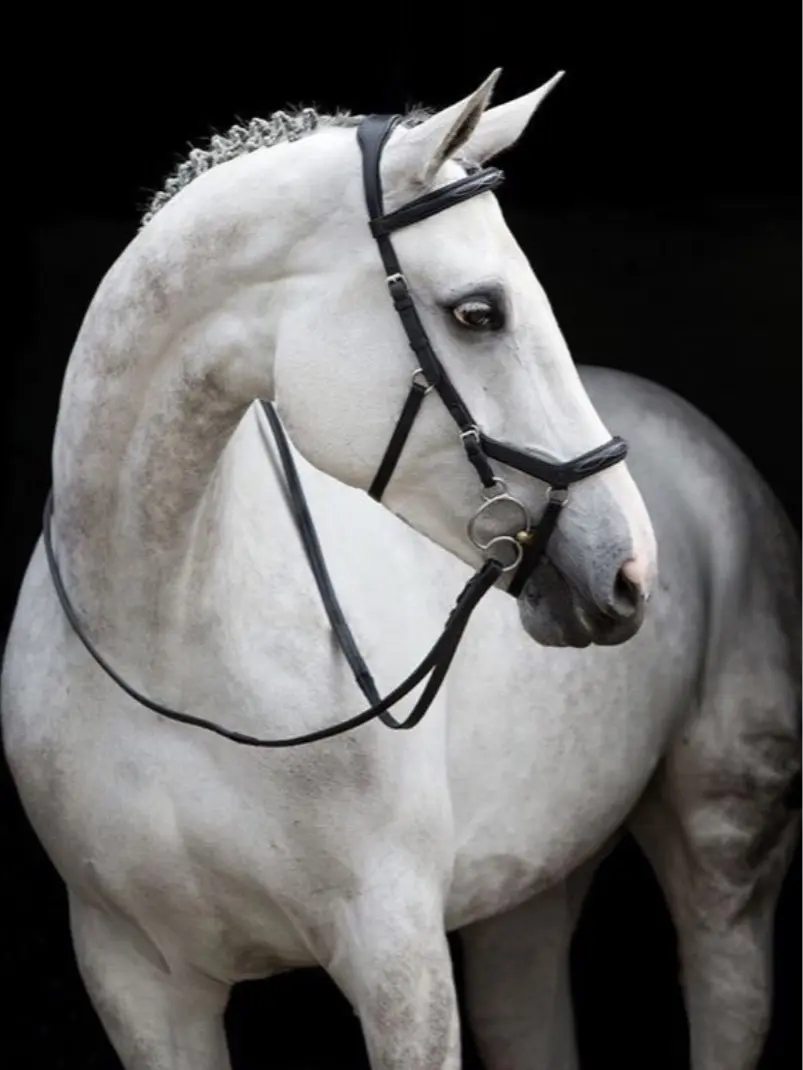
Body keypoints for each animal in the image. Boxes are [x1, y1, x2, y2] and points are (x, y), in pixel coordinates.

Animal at [2, 71, 799, 1070]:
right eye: (478, 311)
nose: (628, 570)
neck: (168, 636)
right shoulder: (136, 982)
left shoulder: (397, 959)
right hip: (531, 887)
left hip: (725, 850)